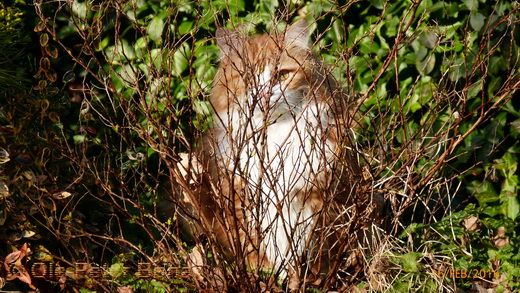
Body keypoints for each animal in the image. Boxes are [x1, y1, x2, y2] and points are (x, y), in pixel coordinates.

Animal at [192, 19, 374, 286]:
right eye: (248, 77)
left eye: (283, 75)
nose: (264, 94)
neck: (274, 136)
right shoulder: (243, 201)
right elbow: (258, 250)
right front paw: (268, 278)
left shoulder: (317, 200)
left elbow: (307, 249)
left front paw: (302, 280)